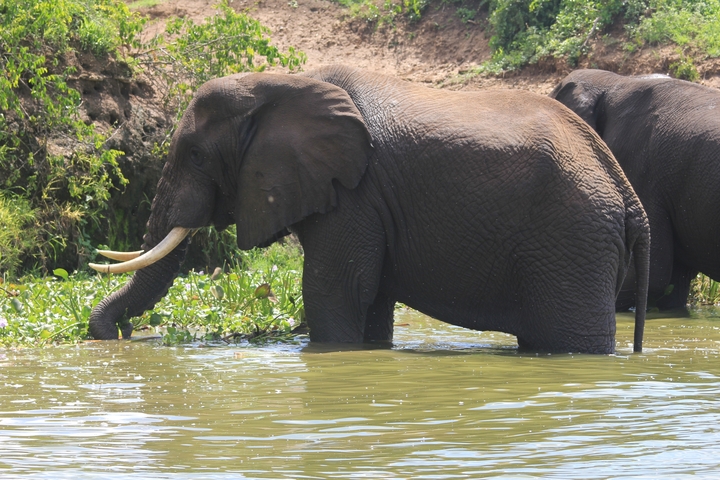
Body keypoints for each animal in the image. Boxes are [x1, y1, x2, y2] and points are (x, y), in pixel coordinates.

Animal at [88, 65, 649, 354]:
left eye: (196, 155)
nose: (117, 335)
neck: (281, 82)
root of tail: (625, 190)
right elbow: (372, 295)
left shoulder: (353, 194)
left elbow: (333, 288)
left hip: (573, 242)